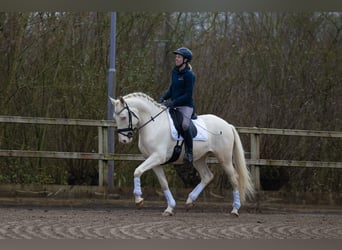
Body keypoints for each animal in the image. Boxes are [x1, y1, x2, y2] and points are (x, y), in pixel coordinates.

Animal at [109, 93, 254, 216]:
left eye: (123, 117)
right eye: (115, 118)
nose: (123, 140)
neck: (154, 125)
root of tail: (227, 125)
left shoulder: (157, 157)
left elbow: (137, 171)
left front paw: (139, 199)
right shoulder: (154, 161)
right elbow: (163, 183)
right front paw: (169, 208)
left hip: (224, 158)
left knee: (233, 179)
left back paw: (235, 209)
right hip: (198, 158)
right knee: (207, 176)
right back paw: (190, 201)